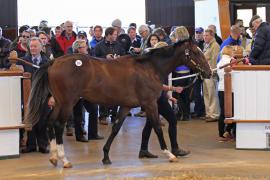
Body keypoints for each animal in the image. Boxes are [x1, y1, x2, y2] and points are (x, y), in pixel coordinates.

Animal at [24, 39, 211, 167]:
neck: (149, 68)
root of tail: (54, 61)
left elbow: (115, 129)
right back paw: (65, 160)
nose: (208, 73)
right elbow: (157, 128)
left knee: (49, 123)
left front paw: (106, 156)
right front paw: (170, 154)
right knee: (57, 125)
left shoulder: (126, 106)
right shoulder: (150, 104)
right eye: (196, 52)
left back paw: (54, 157)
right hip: (67, 103)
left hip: (58, 102)